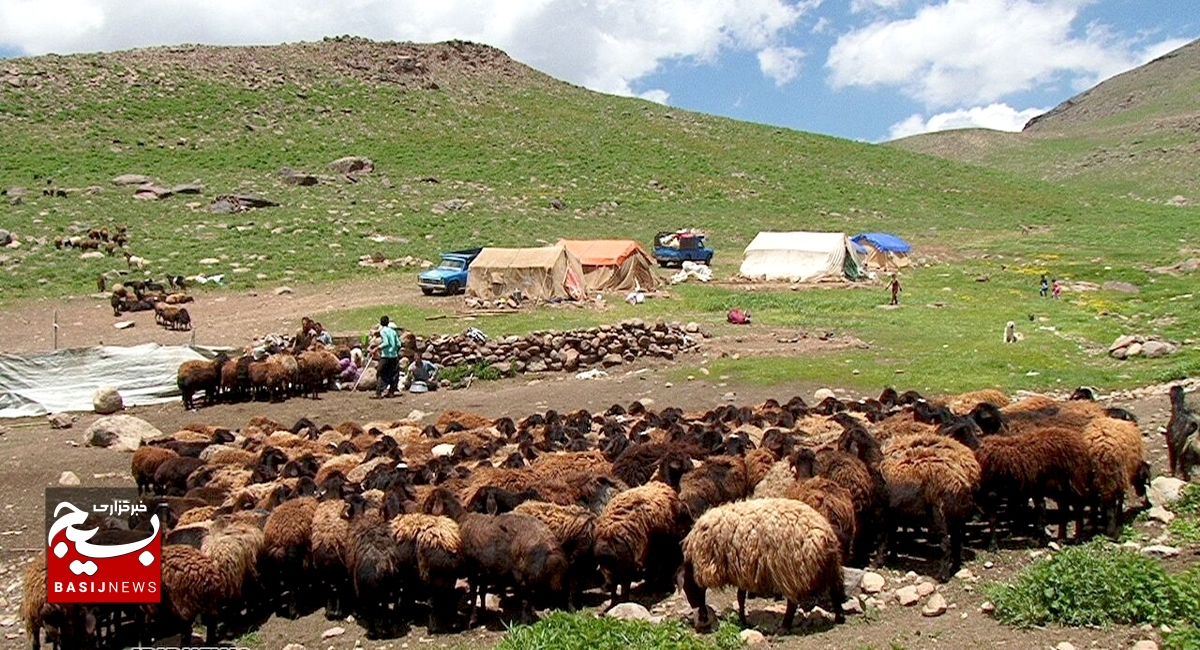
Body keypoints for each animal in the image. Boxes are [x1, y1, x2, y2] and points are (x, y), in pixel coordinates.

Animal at [686, 501, 844, 633]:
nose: (702, 621)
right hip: (831, 567)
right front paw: (743, 620)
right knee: (836, 589)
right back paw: (839, 617)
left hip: (790, 570)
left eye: (690, 591)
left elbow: (739, 597)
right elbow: (740, 596)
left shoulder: (741, 570)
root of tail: (825, 535)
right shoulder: (743, 570)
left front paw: (742, 620)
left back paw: (784, 626)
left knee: (792, 603)